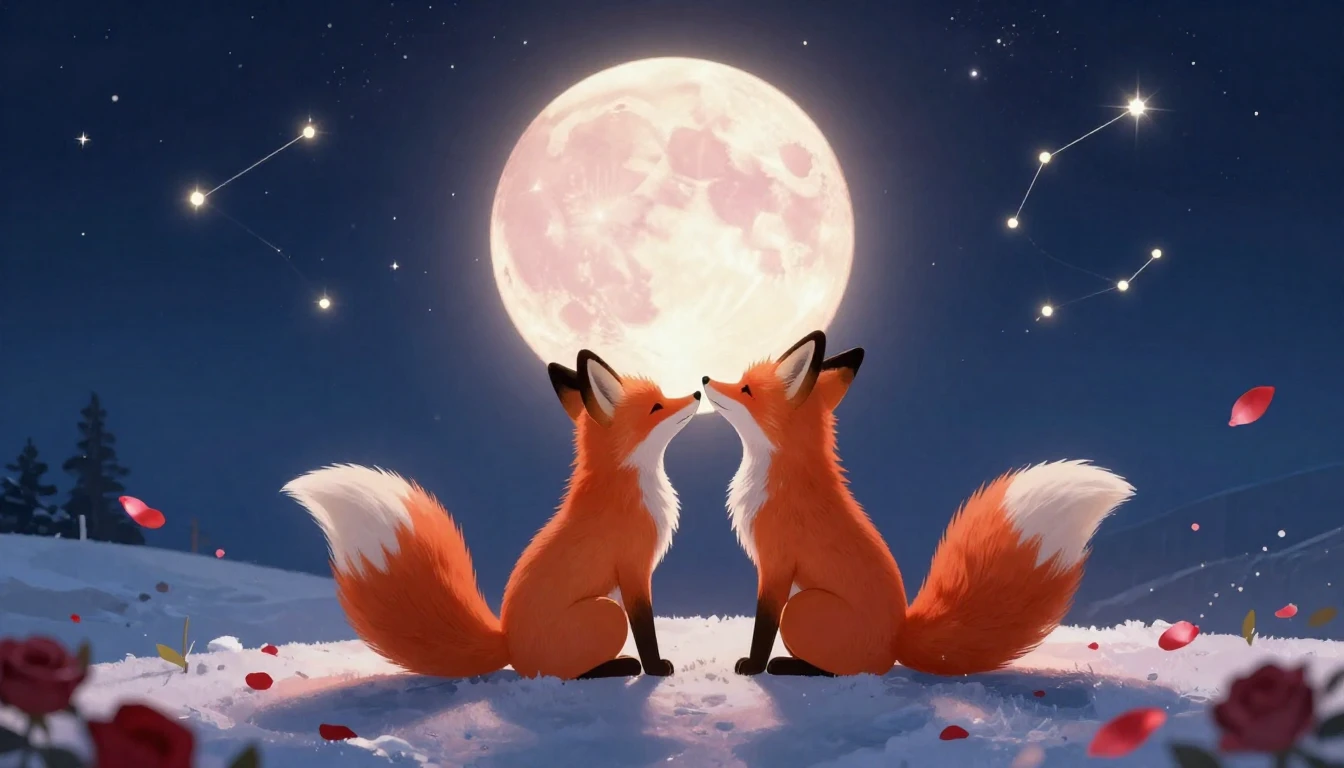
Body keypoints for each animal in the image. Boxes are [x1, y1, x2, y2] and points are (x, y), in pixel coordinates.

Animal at [283, 349, 701, 681]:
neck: (629, 487)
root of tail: (507, 643)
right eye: (657, 406)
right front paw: (656, 668)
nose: (697, 392)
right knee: (554, 673)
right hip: (607, 614)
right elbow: (646, 630)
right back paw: (619, 666)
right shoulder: (633, 570)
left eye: (664, 397)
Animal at [702, 330, 1135, 678]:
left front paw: (753, 667)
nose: (705, 378)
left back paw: (790, 666)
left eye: (745, 389)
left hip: (802, 608)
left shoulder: (775, 565)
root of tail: (899, 636)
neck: (778, 476)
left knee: (857, 670)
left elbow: (763, 628)